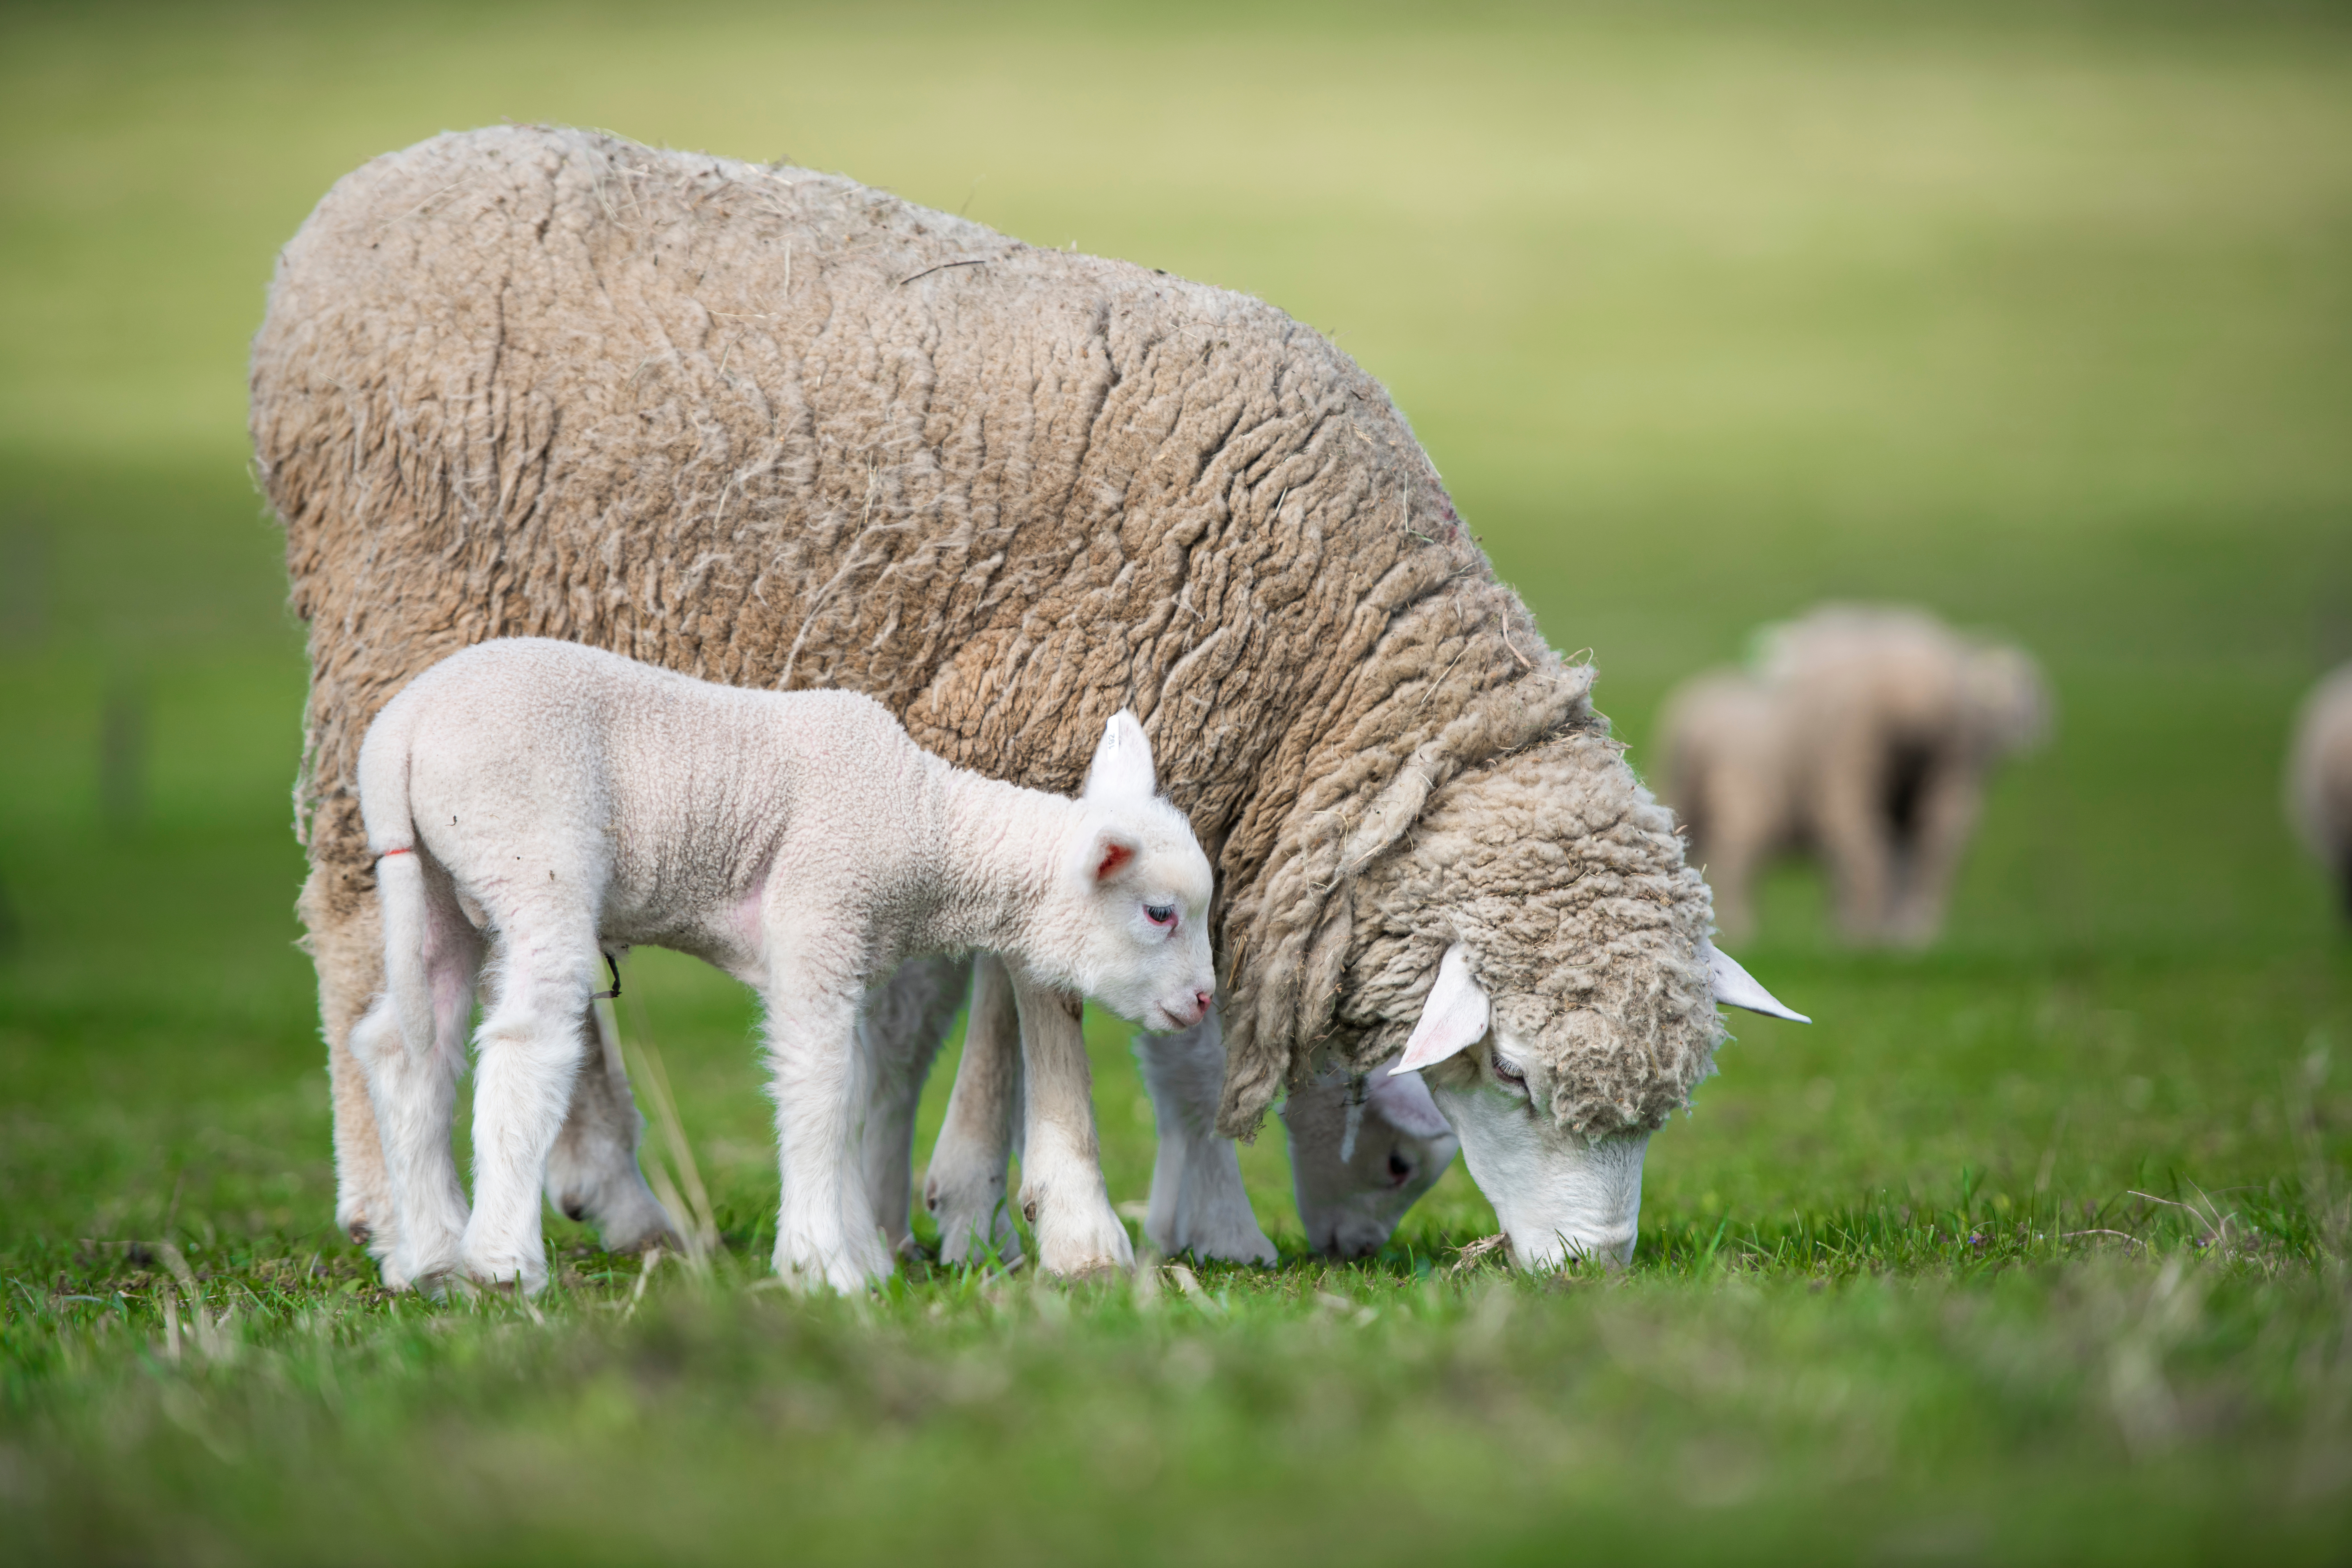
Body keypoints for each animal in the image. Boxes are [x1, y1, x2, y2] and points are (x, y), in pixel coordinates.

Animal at [345, 637, 1213, 1292]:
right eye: (1159, 913)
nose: (1205, 999)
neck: (927, 821)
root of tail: (399, 733)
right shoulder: (817, 922)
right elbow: (817, 1092)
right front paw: (823, 1265)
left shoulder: (847, 954)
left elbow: (852, 1090)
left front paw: (860, 1253)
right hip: (532, 854)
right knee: (525, 1045)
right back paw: (501, 1265)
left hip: (438, 880)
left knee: (405, 1046)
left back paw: (429, 1261)